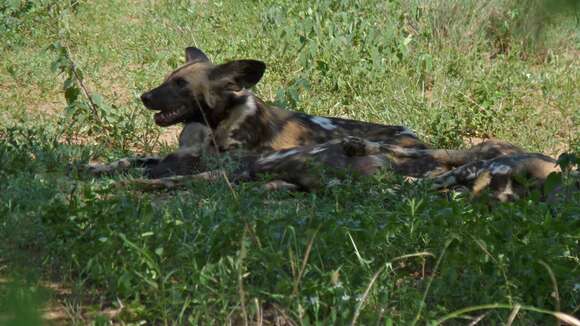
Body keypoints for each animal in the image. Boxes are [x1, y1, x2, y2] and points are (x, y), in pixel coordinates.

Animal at [88, 46, 564, 200]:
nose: (144, 96)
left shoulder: (219, 163)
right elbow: (130, 160)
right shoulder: (183, 156)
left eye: (181, 84)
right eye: (168, 79)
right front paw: (95, 166)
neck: (212, 125)